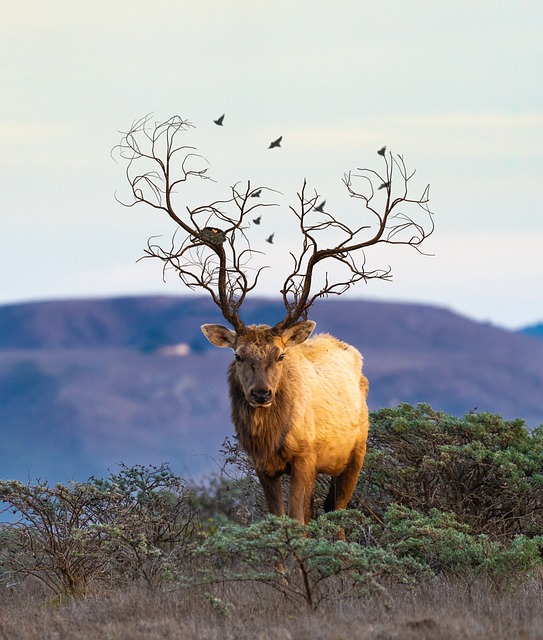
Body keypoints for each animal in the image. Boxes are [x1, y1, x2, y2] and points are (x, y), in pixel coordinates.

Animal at [115, 114, 434, 524]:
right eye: (237, 356)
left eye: (280, 355)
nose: (261, 393)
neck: (272, 438)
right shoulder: (262, 466)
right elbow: (276, 519)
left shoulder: (306, 457)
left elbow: (297, 521)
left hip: (356, 452)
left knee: (337, 513)